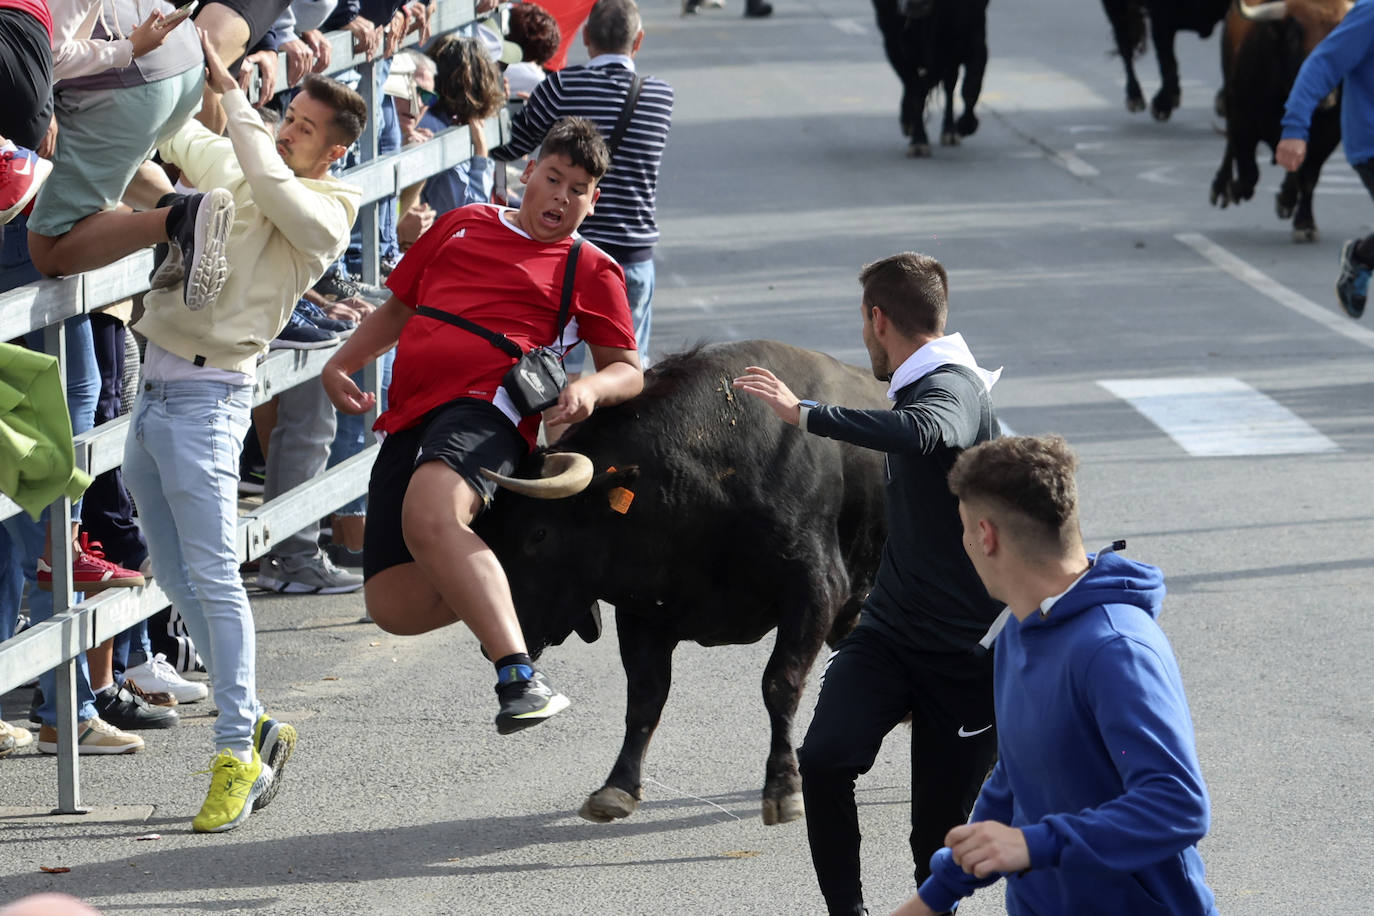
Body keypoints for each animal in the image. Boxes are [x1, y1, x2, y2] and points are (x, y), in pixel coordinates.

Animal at [475, 340, 890, 829]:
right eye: (489, 536)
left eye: (539, 533)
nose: (491, 644)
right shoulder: (642, 612)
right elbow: (645, 697)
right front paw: (617, 787)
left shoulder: (814, 590)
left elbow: (779, 684)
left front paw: (783, 787)